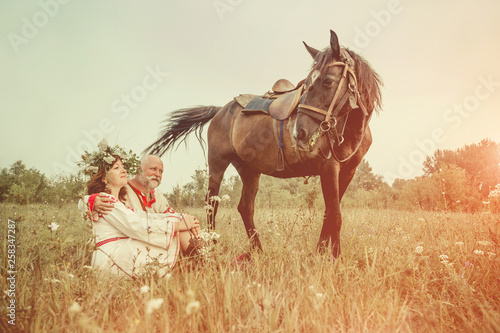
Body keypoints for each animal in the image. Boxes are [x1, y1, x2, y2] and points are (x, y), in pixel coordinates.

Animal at [146, 29, 380, 256]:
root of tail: (220, 110)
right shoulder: (329, 168)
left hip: (249, 170)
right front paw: (333, 257)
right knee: (211, 204)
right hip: (217, 163)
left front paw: (322, 252)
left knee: (245, 207)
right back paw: (211, 248)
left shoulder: (347, 170)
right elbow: (335, 214)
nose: (300, 133)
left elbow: (329, 212)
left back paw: (257, 250)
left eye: (328, 81)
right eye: (306, 85)